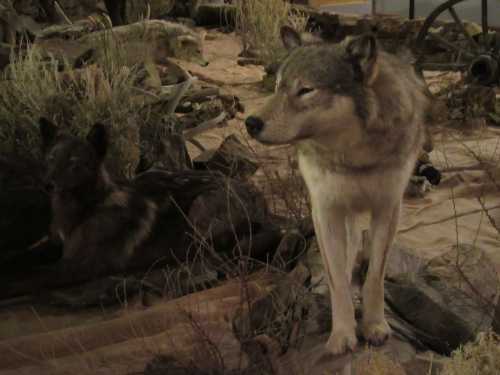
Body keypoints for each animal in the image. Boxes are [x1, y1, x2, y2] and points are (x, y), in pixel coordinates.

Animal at [244, 25, 428, 356]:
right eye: (277, 87)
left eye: (305, 90)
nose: (250, 123)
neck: (353, 155)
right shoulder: (325, 210)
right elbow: (337, 279)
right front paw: (342, 334)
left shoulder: (387, 208)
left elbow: (375, 277)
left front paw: (375, 326)